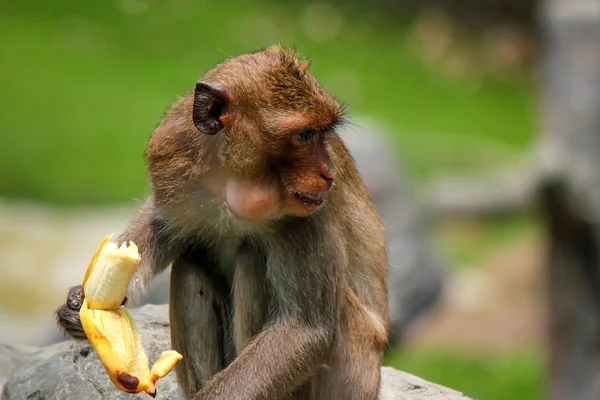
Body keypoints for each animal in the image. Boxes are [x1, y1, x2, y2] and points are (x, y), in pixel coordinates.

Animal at [56, 45, 390, 398]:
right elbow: (162, 226)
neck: (235, 178)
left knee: (252, 256)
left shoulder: (306, 215)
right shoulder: (172, 161)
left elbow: (304, 328)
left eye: (321, 132)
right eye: (304, 134)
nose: (328, 173)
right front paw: (78, 305)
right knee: (191, 262)